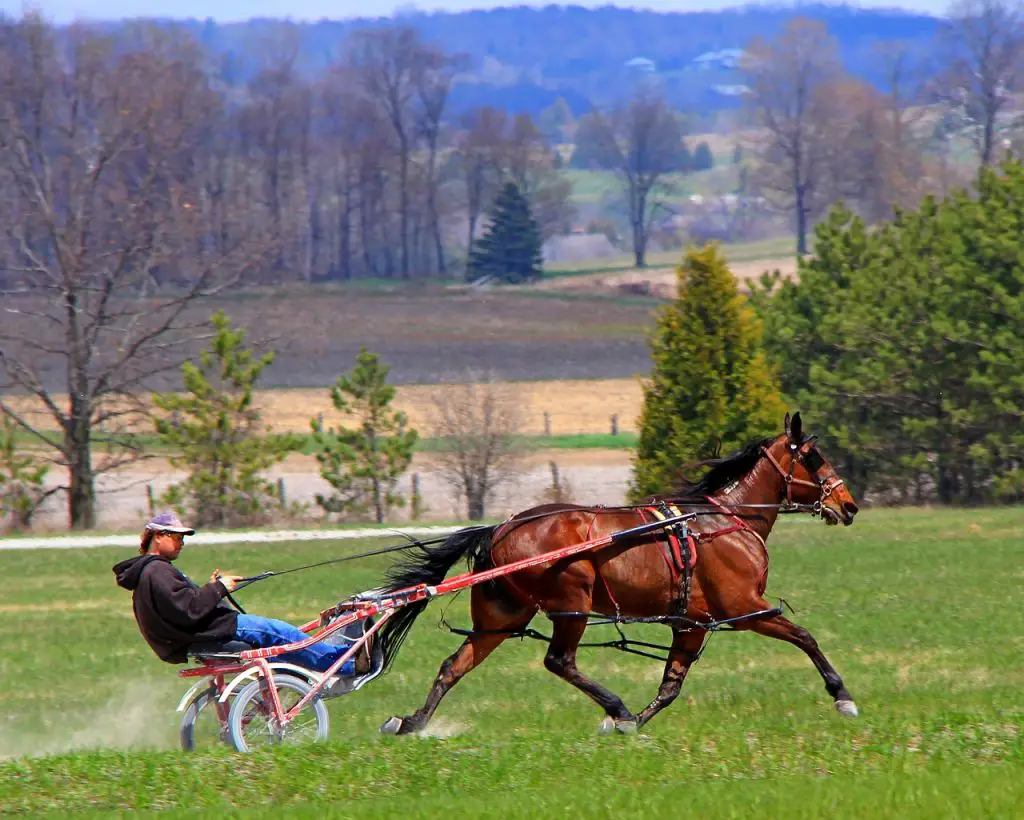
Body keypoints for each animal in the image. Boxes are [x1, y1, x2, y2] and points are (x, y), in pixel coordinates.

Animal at [374, 413, 856, 732]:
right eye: (814, 458)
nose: (848, 505)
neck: (723, 521)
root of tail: (501, 528)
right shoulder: (744, 607)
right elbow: (805, 637)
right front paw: (842, 696)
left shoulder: (693, 622)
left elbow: (671, 685)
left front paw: (639, 722)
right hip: (573, 603)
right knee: (559, 661)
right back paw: (616, 708)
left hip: (503, 616)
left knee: (455, 665)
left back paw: (413, 722)